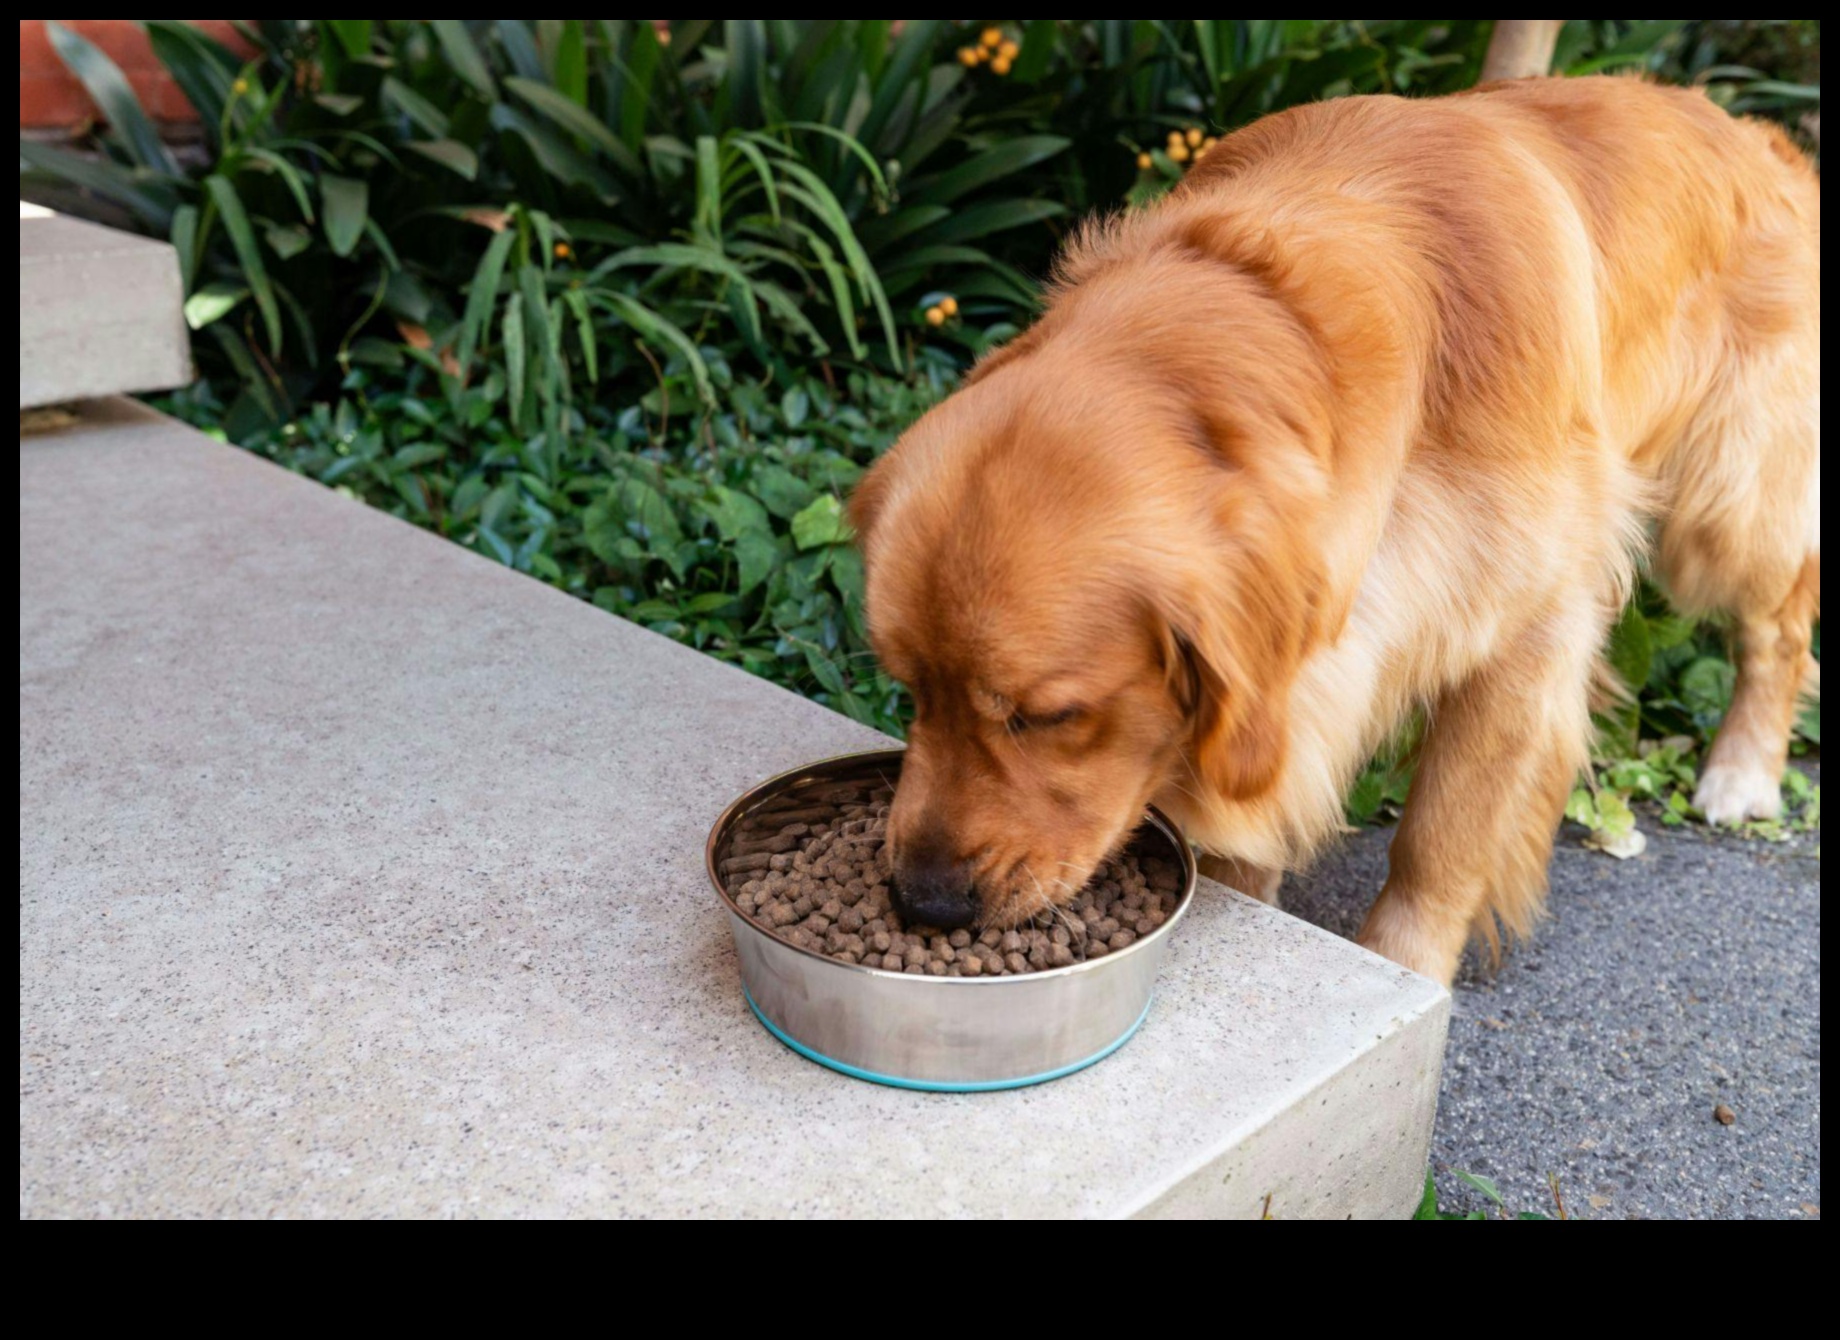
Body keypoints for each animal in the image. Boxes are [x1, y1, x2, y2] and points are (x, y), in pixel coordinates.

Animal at [850, 75, 1825, 986]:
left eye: (1049, 717)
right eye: (909, 688)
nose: (925, 903)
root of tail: (1765, 141)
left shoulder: (1528, 634)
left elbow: (1441, 837)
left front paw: (1404, 971)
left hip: (1729, 506)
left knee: (1781, 629)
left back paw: (1743, 774)